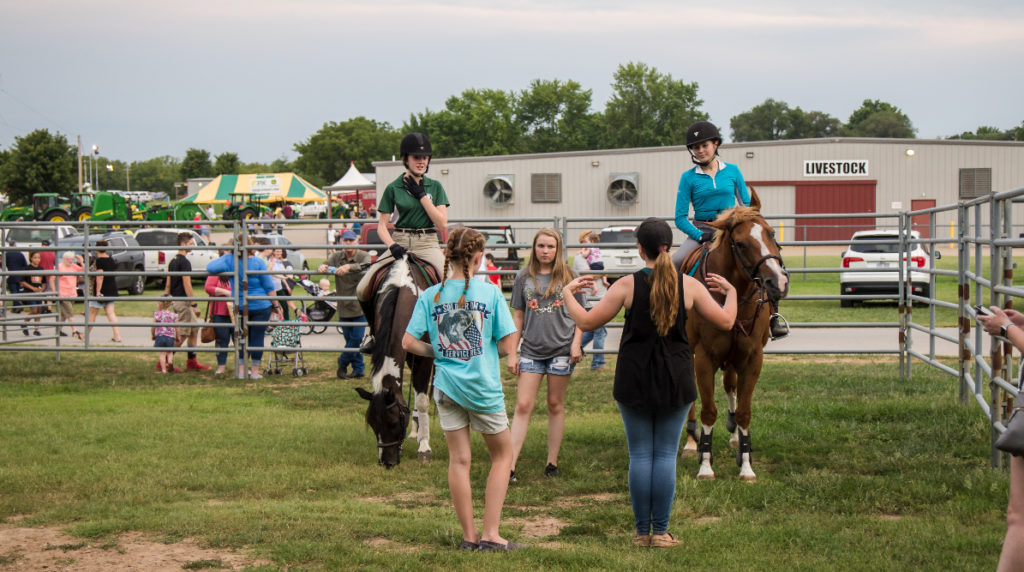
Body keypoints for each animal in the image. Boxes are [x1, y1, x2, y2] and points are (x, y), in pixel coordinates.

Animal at [679, 190, 790, 480]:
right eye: (740, 244)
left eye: (771, 233)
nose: (778, 282)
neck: (733, 295)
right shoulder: (704, 358)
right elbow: (708, 411)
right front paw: (705, 465)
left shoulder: (752, 358)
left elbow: (743, 412)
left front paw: (746, 464)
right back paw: (691, 443)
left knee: (730, 385)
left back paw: (734, 437)